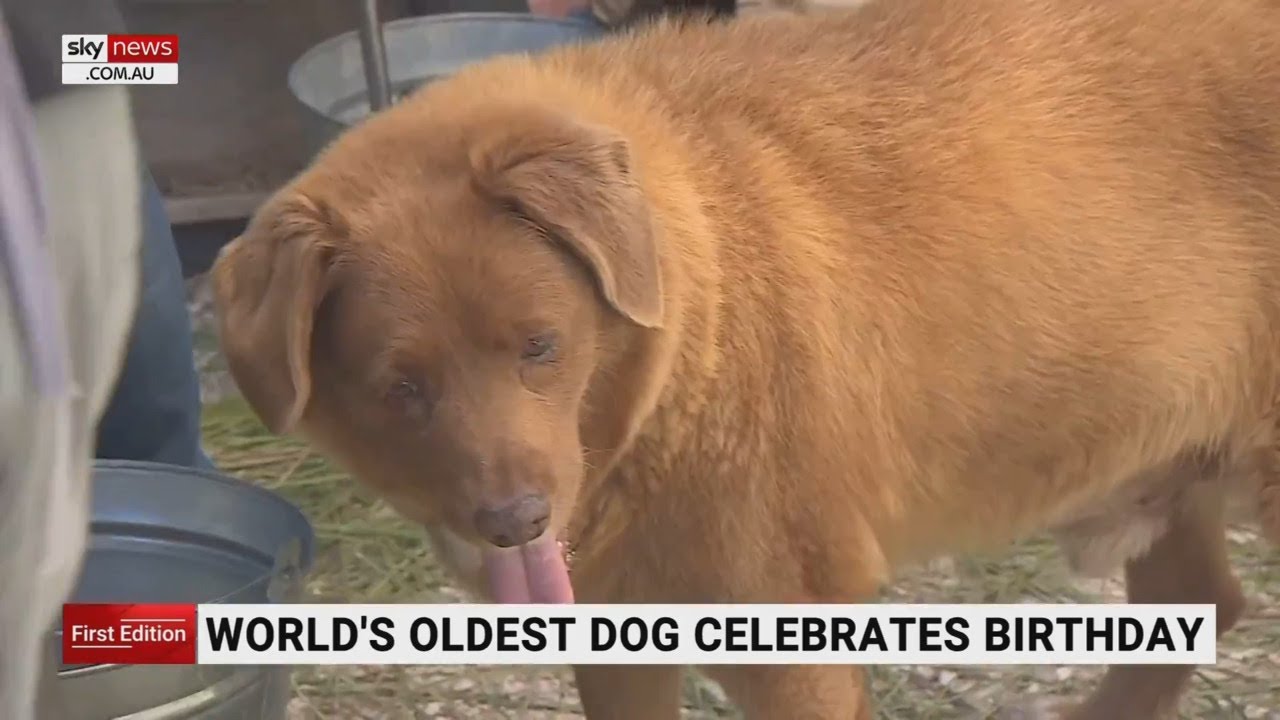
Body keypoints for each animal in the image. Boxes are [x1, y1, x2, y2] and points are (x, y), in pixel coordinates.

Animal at [209, 1, 1280, 712]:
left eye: (542, 348)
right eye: (401, 388)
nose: (515, 523)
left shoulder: (790, 646)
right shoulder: (616, 641)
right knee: (1201, 605)